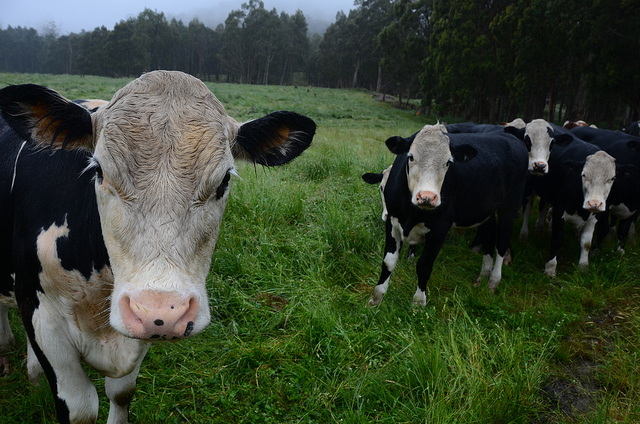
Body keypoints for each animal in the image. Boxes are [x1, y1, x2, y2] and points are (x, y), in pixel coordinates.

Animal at [0, 71, 316, 422]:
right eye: (99, 171)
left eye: (224, 181)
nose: (161, 312)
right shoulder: (44, 317)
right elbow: (80, 407)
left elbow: (121, 393)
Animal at [368, 126, 528, 304]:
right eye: (411, 157)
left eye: (448, 162)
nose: (427, 197)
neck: (412, 214)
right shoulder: (392, 221)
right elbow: (388, 262)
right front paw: (376, 299)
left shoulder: (440, 228)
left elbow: (424, 265)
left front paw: (418, 302)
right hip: (486, 211)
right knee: (489, 236)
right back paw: (483, 276)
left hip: (510, 207)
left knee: (502, 241)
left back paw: (493, 281)